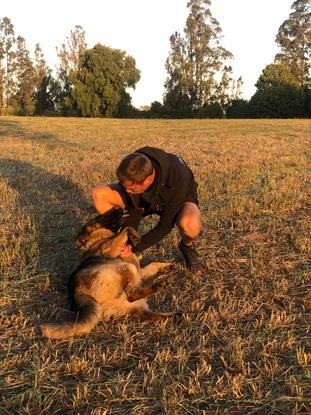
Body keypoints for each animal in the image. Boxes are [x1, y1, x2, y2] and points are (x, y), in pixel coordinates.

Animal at [40, 208, 174, 342]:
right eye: (100, 216)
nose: (120, 208)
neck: (98, 239)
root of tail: (78, 294)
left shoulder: (140, 271)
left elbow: (153, 264)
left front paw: (167, 265)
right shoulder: (111, 249)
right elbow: (126, 229)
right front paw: (135, 236)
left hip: (136, 298)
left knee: (151, 314)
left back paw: (174, 313)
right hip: (124, 267)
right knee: (131, 295)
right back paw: (159, 285)